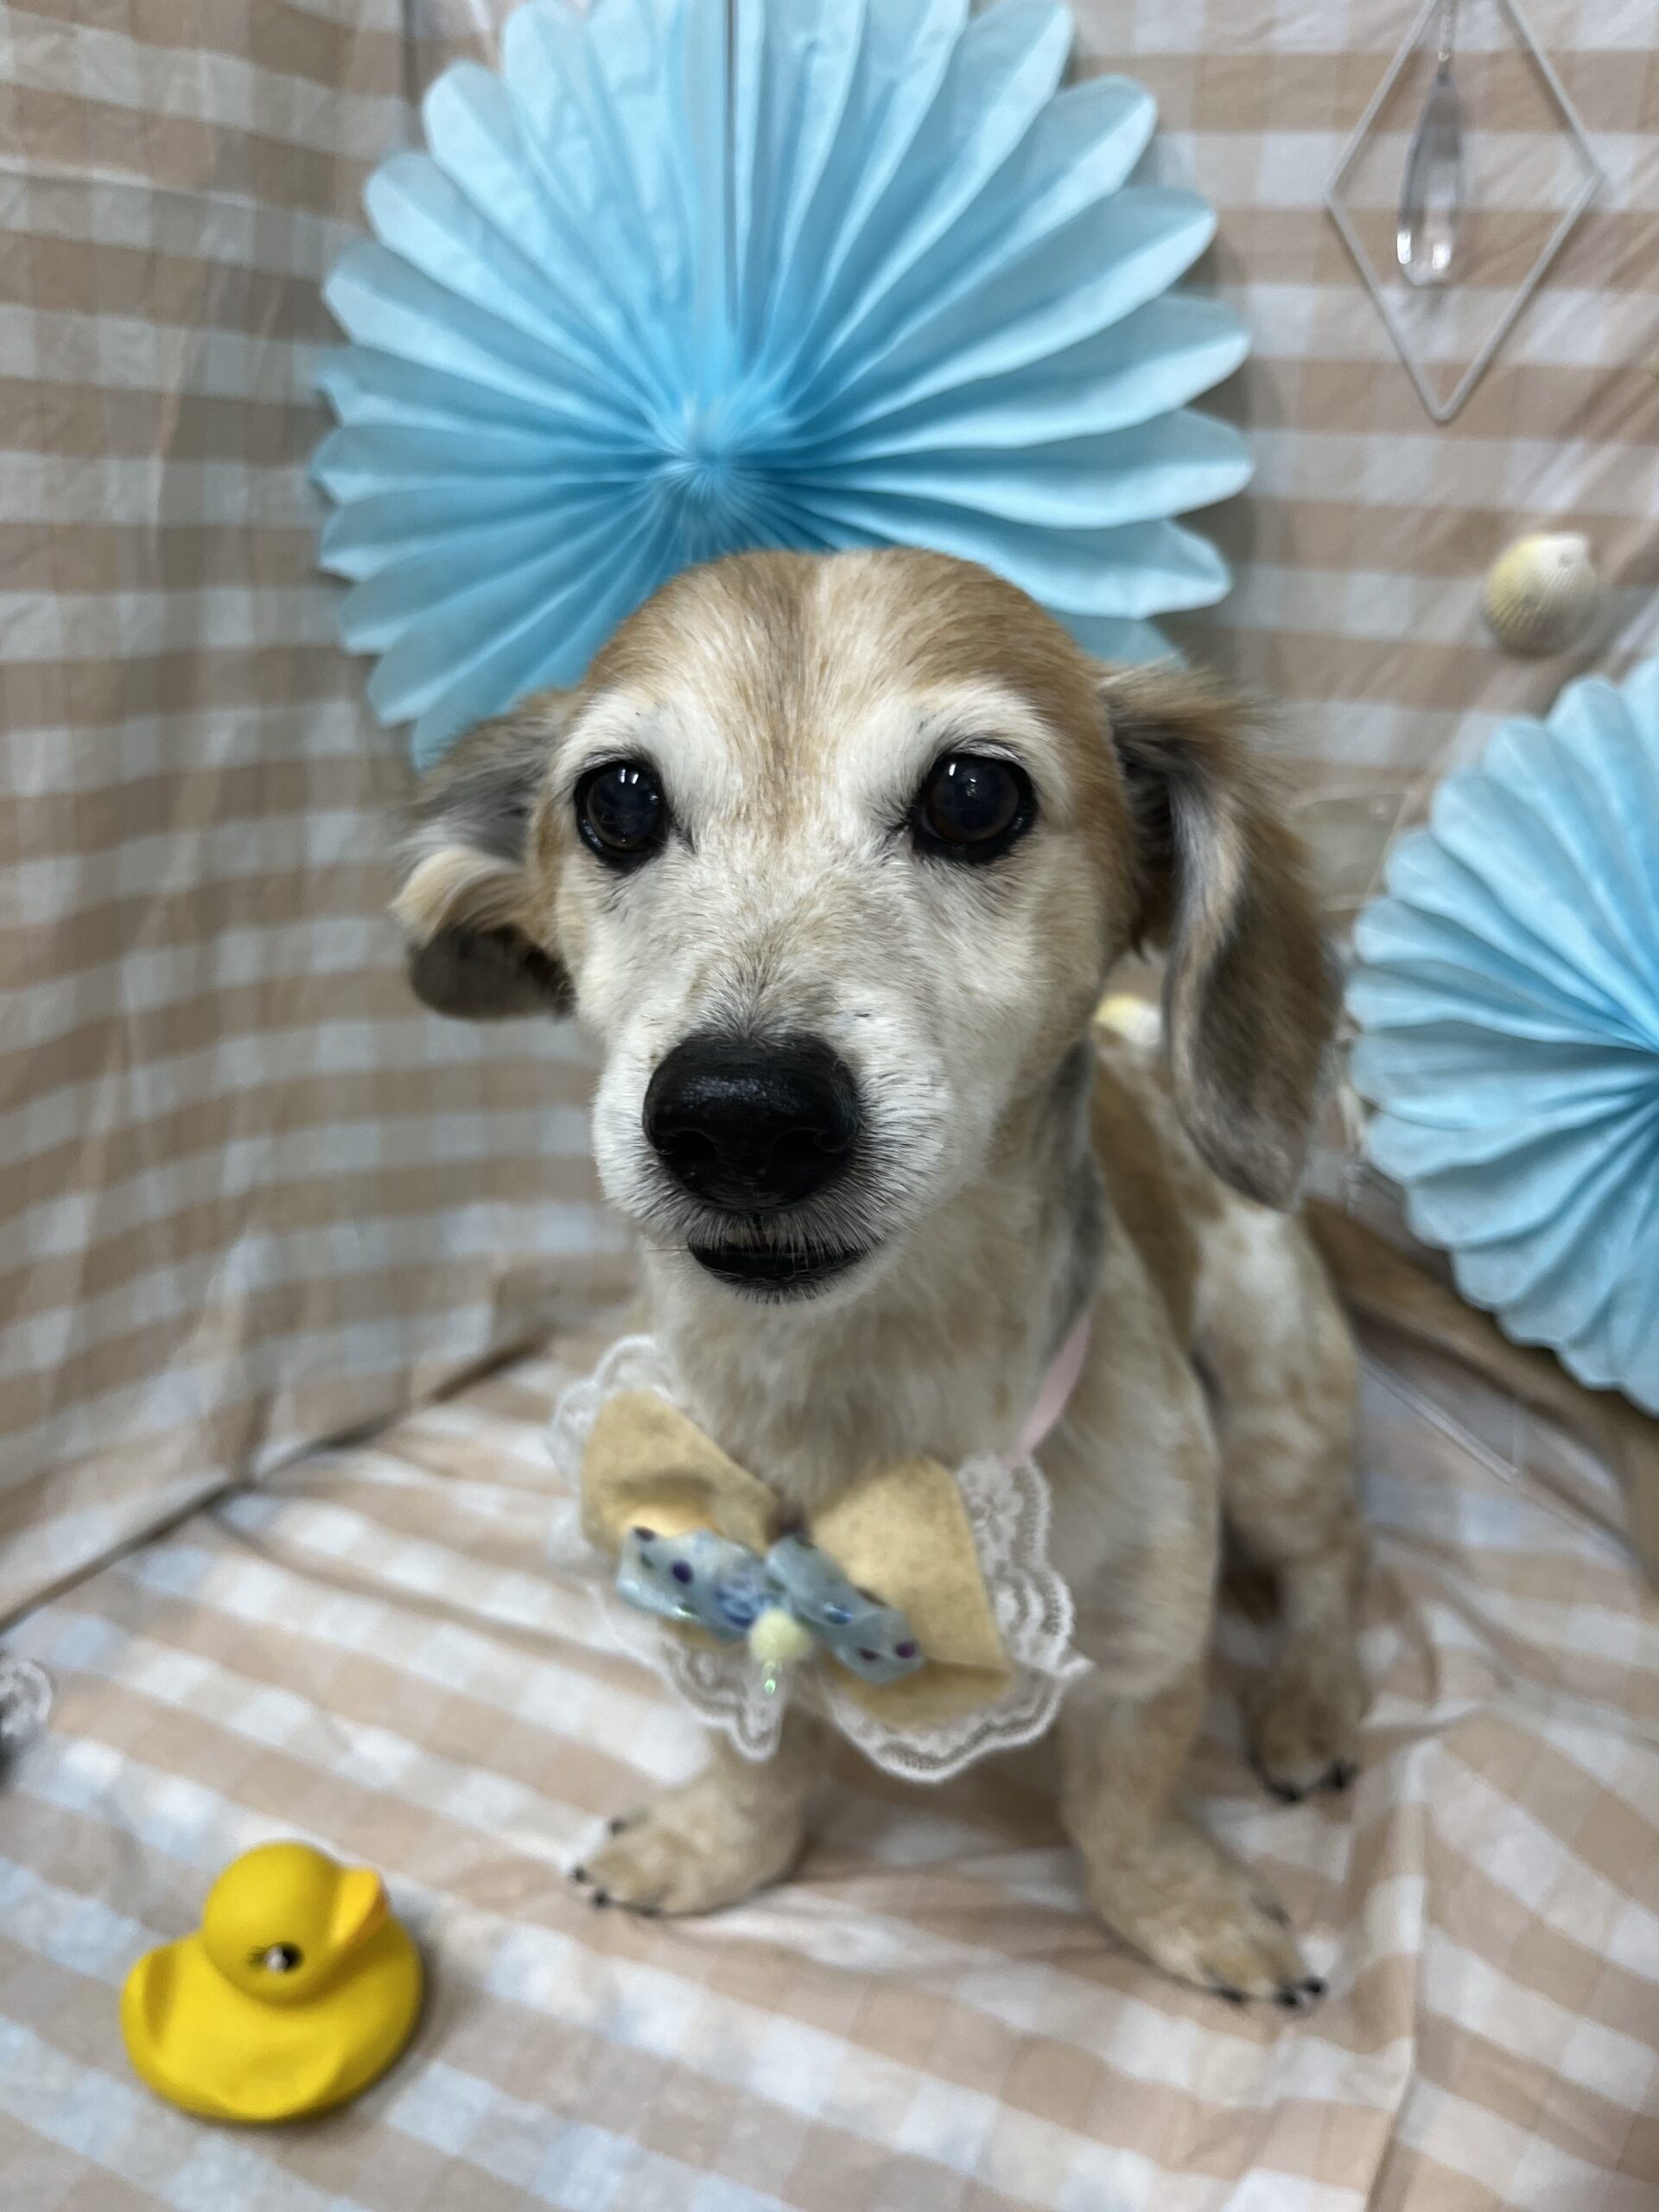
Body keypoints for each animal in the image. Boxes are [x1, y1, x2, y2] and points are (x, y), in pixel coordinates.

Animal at [392, 547, 1365, 2004]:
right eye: (618, 800)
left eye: (974, 794)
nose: (739, 1115)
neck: (854, 1387)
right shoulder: (687, 1583)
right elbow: (753, 1761)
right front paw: (710, 1845)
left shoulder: (1146, 1651)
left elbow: (1123, 1810)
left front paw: (1184, 1908)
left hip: (1277, 1413)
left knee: (1332, 1567)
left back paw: (1313, 1701)